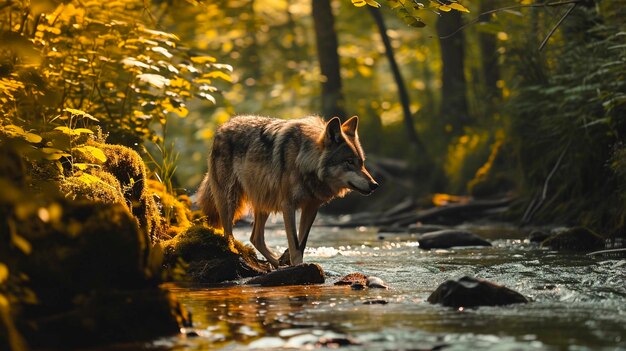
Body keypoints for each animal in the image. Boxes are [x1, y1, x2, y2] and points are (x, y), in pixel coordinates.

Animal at [197, 115, 378, 266]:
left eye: (361, 162)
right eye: (349, 162)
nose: (374, 185)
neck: (303, 160)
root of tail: (222, 126)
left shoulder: (311, 207)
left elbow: (302, 243)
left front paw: (293, 263)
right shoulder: (288, 206)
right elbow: (295, 245)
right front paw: (299, 268)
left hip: (265, 201)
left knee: (255, 238)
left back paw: (277, 264)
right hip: (230, 200)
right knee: (228, 234)